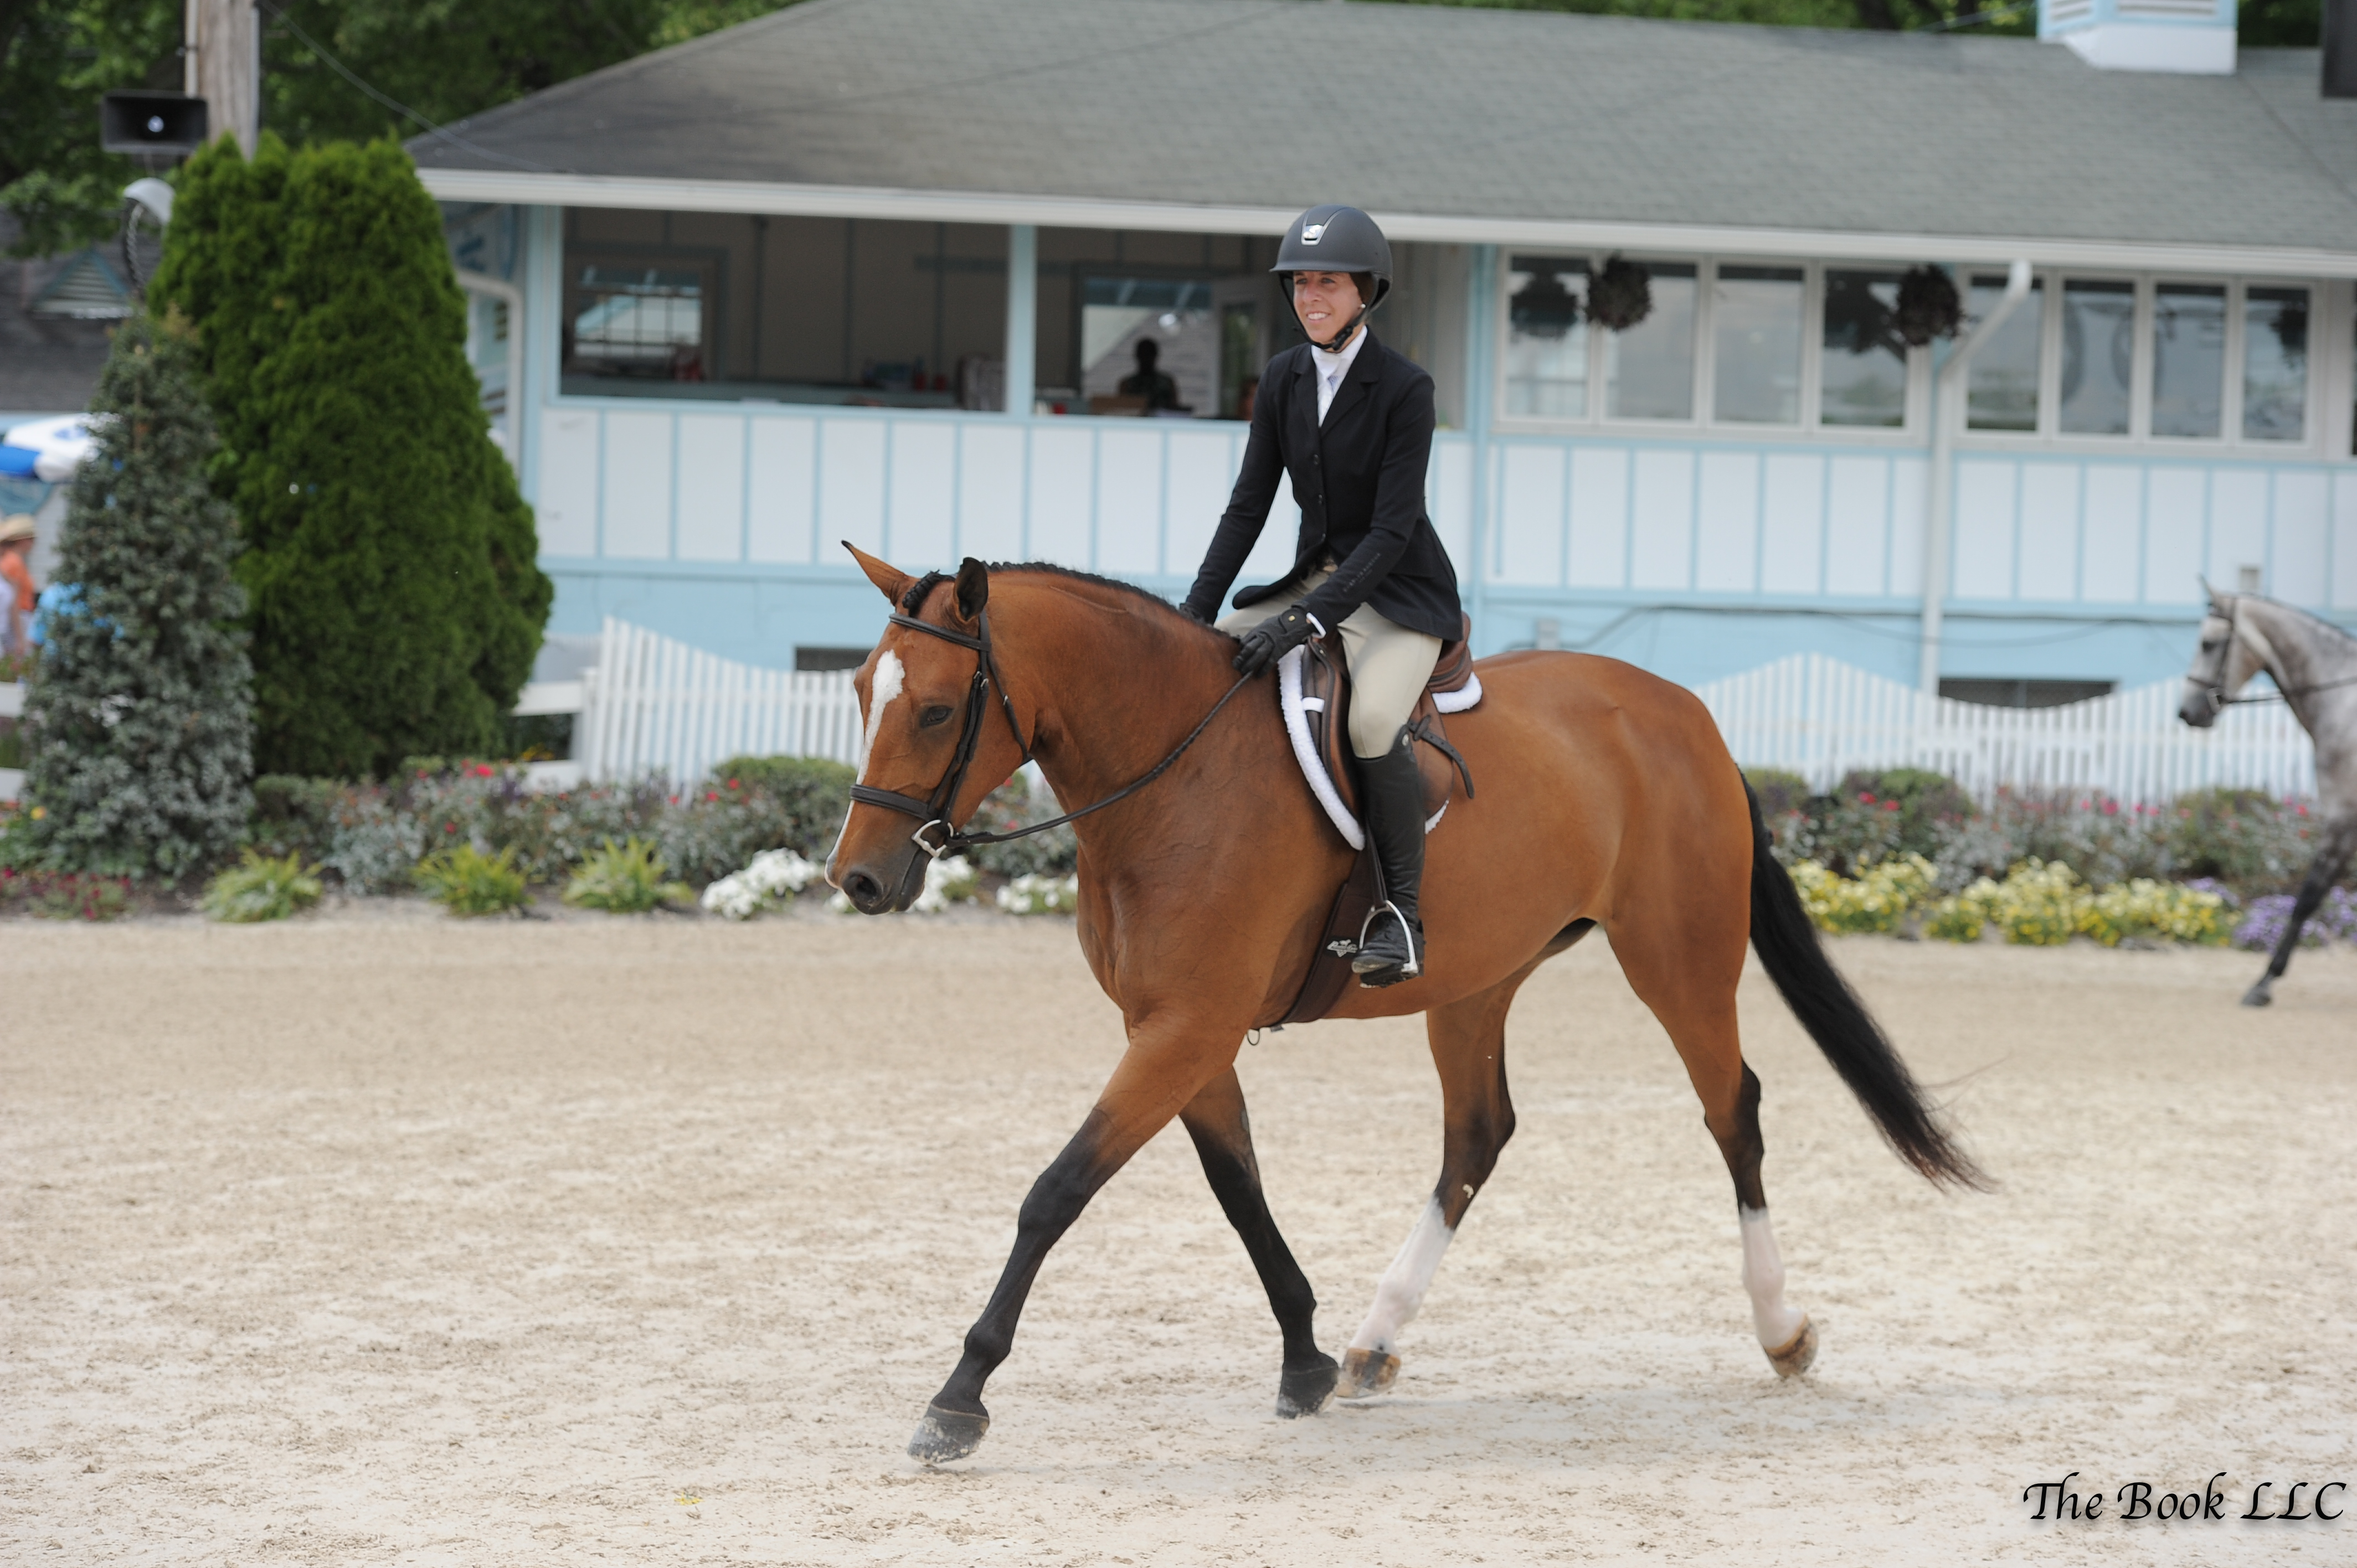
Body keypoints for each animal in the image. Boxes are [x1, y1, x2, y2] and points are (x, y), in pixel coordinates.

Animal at [834, 544, 1989, 1462]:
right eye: (857, 692)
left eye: (937, 709)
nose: (858, 881)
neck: (1173, 774)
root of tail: (1686, 712)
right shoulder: (1179, 1030)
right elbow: (1238, 1186)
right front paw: (1303, 1357)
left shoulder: (1186, 1027)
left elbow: (1057, 1191)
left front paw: (958, 1400)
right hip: (1476, 981)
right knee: (1478, 1133)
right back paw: (1374, 1340)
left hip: (1679, 958)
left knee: (1731, 1110)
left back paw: (1782, 1329)